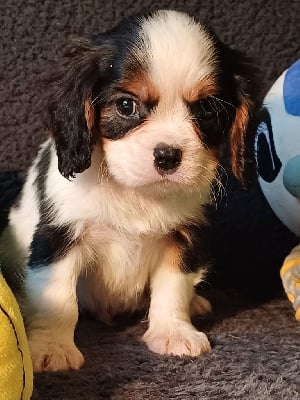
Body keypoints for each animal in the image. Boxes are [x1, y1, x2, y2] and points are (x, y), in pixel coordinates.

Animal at [0, 9, 258, 372]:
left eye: (207, 110)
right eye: (126, 106)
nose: (168, 155)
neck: (135, 192)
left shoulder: (184, 238)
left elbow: (173, 287)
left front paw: (173, 331)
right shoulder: (60, 236)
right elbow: (59, 296)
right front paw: (52, 346)